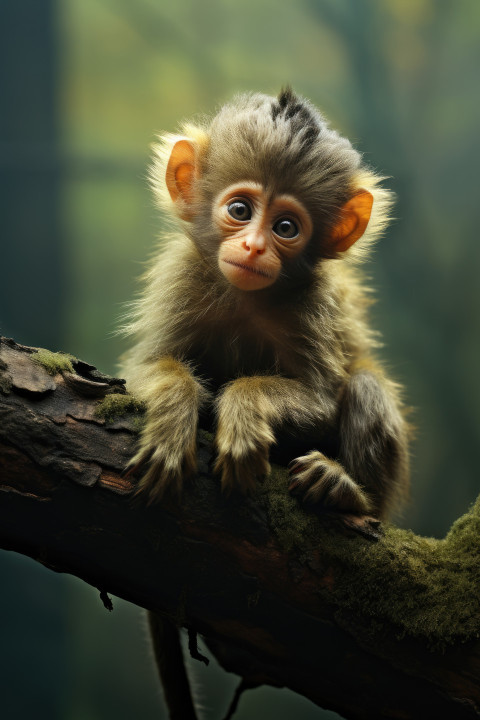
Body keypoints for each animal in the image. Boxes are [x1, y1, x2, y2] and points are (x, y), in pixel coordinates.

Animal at [123, 88, 408, 516]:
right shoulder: (181, 277)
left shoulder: (313, 306)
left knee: (365, 384)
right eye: (240, 210)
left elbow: (321, 404)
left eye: (285, 227)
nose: (254, 247)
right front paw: (173, 421)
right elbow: (141, 369)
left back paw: (348, 489)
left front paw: (244, 408)